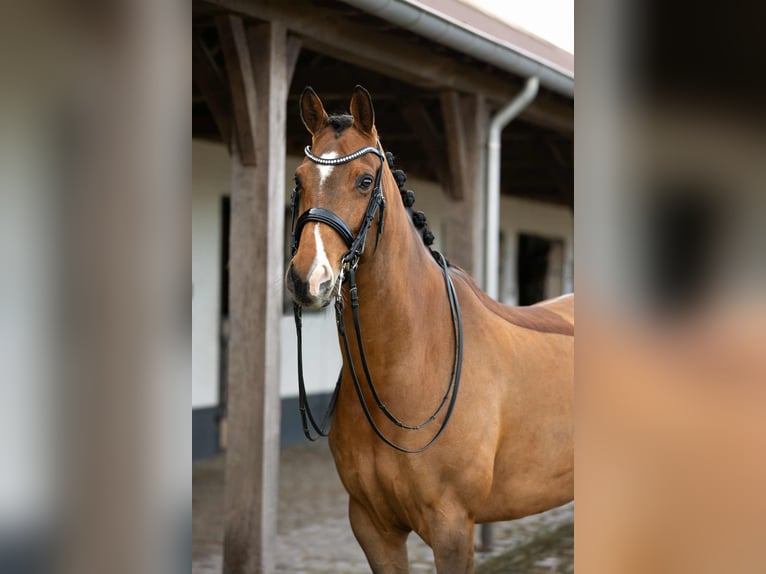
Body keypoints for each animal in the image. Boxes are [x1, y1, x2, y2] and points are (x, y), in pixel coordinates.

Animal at [285, 85, 574, 573]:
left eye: (365, 180)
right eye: (300, 179)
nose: (309, 279)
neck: (415, 359)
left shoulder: (452, 527)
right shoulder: (373, 528)